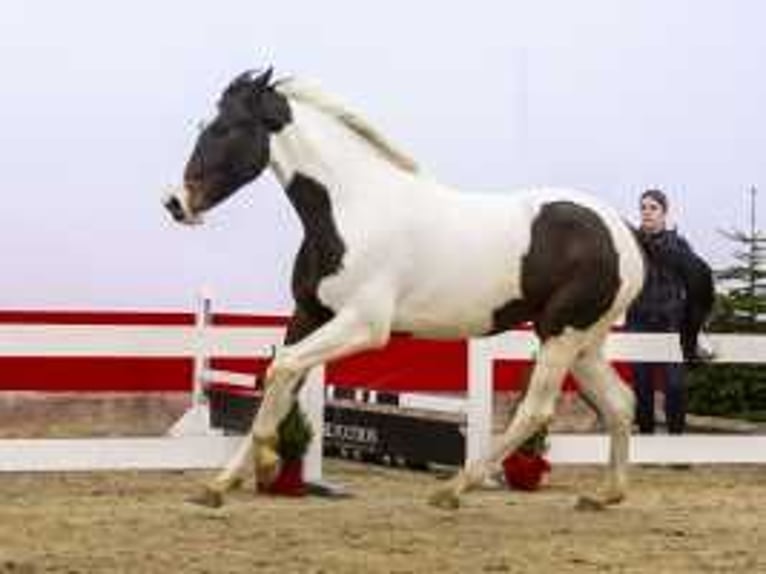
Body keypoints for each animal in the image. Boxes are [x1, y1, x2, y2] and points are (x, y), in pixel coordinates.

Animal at [165, 68, 716, 512]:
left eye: (225, 129)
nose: (175, 203)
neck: (351, 208)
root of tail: (626, 229)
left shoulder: (363, 325)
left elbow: (281, 371)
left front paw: (264, 463)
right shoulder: (310, 315)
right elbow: (278, 382)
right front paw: (221, 484)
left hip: (562, 334)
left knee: (536, 410)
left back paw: (454, 489)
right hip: (583, 341)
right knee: (621, 403)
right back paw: (605, 495)